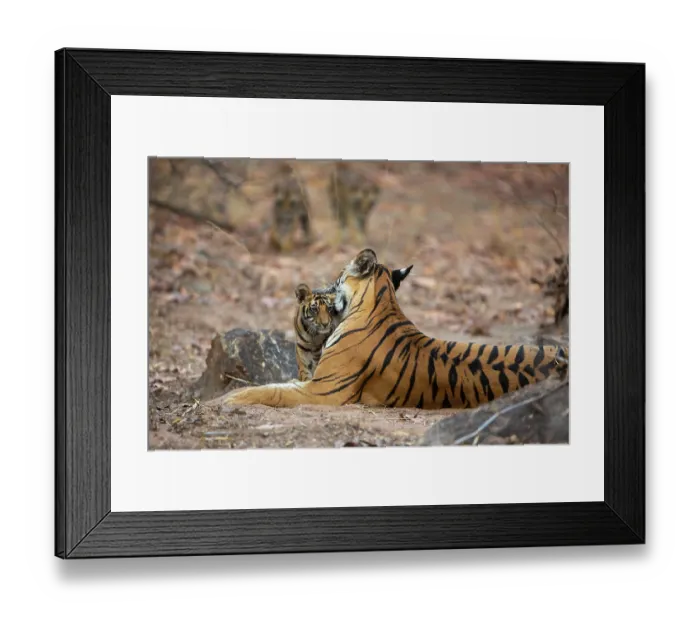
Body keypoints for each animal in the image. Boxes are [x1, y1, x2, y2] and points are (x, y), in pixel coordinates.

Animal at [219, 249, 568, 409]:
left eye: (336, 279)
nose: (321, 288)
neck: (383, 302)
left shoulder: (323, 390)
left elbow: (273, 389)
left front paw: (230, 397)